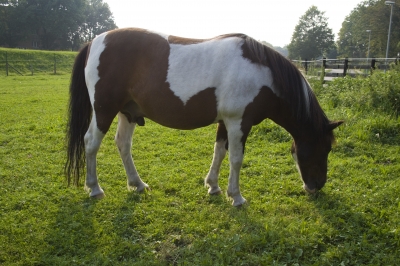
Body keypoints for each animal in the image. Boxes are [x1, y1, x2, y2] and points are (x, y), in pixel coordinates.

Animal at [65, 27, 340, 206]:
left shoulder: (225, 122)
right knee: (91, 143)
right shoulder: (239, 122)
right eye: (325, 148)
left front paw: (213, 186)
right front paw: (236, 196)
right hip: (104, 110)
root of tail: (95, 41)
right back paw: (95, 189)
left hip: (128, 112)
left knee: (122, 144)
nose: (317, 186)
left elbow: (219, 152)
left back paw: (138, 184)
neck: (263, 74)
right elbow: (236, 159)